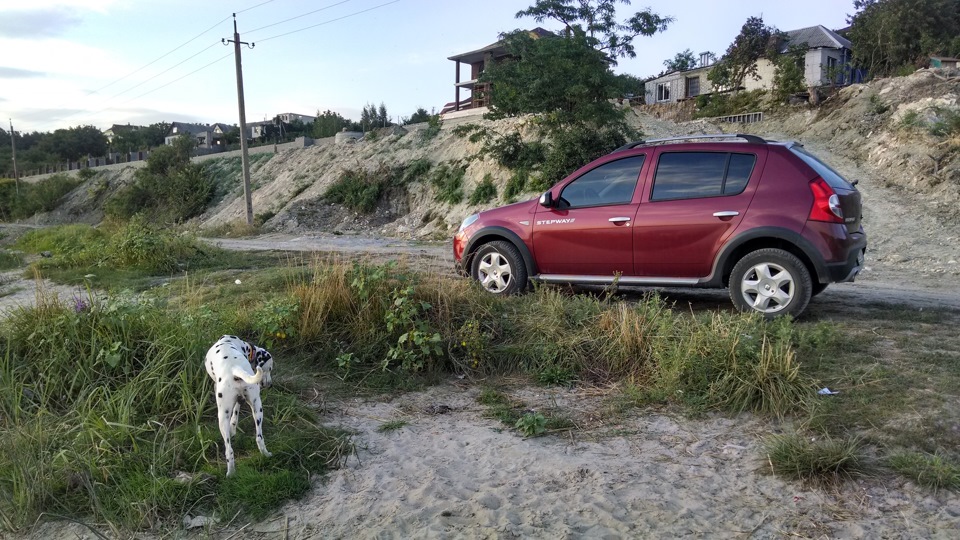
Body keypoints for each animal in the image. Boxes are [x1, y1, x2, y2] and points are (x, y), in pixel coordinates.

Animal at [204, 334, 274, 476]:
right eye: (269, 369)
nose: (270, 384)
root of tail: (235, 368)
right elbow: (235, 416)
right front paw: (233, 427)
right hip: (257, 408)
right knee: (258, 438)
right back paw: (265, 454)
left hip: (222, 418)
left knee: (228, 450)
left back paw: (230, 474)